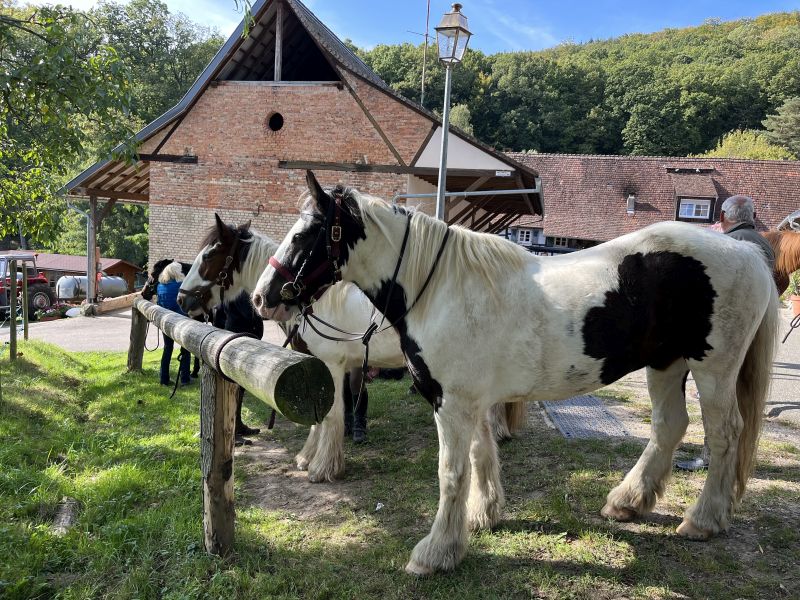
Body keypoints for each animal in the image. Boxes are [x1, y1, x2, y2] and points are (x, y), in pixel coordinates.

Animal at [175, 216, 524, 482]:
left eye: (209, 255)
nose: (181, 298)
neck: (313, 302)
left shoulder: (330, 363)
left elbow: (330, 416)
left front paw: (321, 467)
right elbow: (321, 415)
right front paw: (307, 458)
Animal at [253, 172, 780, 576]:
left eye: (305, 234)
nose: (264, 297)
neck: (439, 288)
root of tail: (748, 255)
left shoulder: (452, 403)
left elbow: (451, 472)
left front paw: (436, 552)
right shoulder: (473, 400)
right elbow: (482, 456)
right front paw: (482, 517)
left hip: (713, 370)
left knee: (724, 435)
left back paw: (703, 520)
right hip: (666, 366)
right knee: (670, 427)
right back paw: (628, 501)